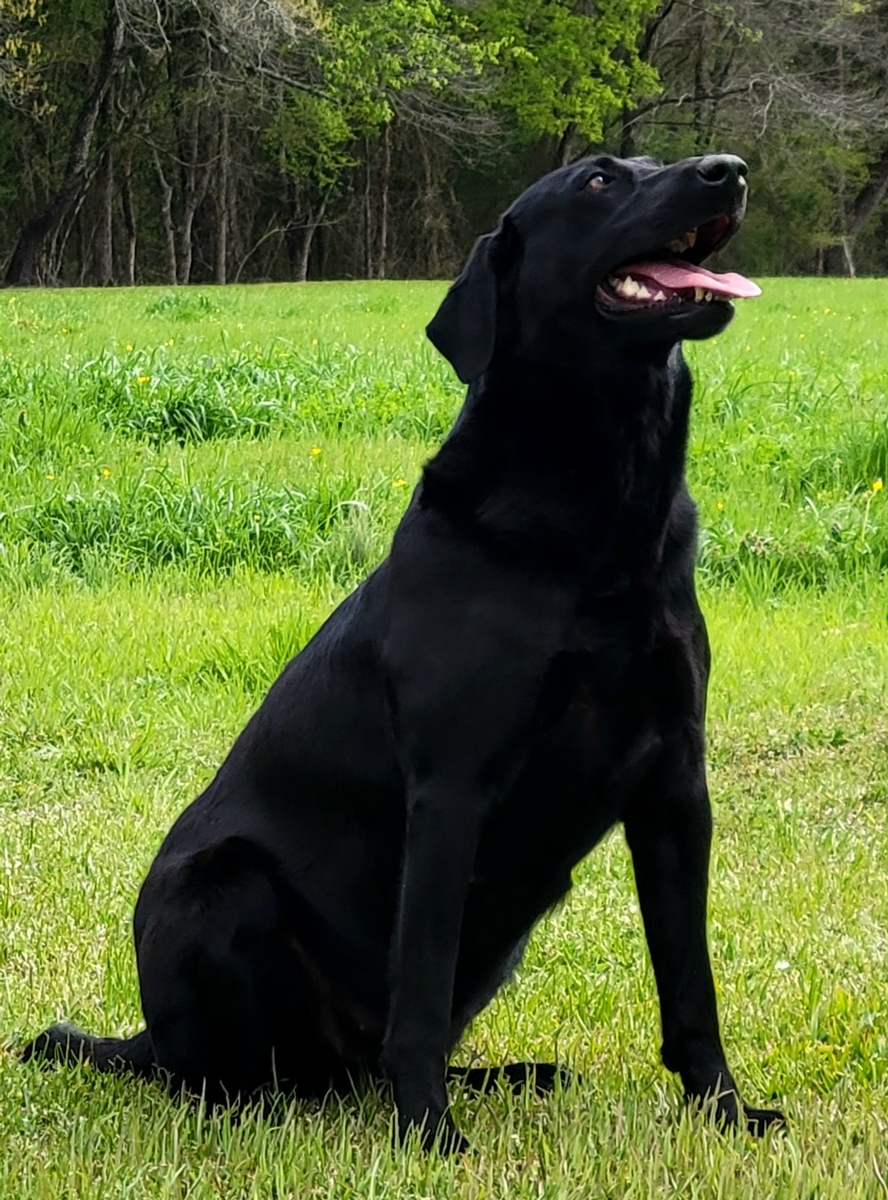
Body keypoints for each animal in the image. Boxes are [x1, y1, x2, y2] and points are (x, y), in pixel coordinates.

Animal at [24, 153, 784, 1151]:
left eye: (658, 161)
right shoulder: (450, 789)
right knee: (226, 1074)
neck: (597, 512)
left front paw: (726, 1111)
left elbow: (691, 987)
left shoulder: (675, 788)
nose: (726, 171)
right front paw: (428, 1134)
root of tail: (144, 1036)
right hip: (219, 886)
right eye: (596, 181)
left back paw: (510, 1074)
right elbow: (418, 987)